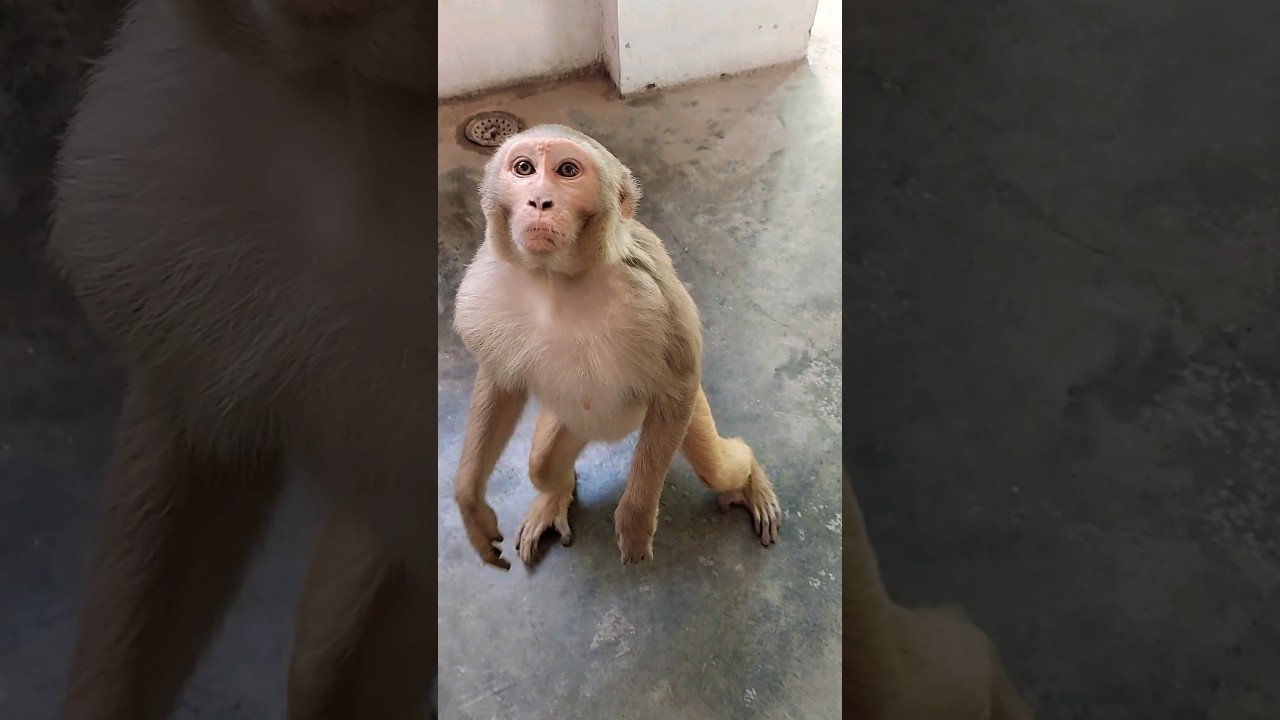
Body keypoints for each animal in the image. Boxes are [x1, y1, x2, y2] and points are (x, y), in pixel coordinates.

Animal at [449, 124, 782, 569]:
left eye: (567, 171)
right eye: (524, 168)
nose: (539, 200)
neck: (556, 280)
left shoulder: (653, 294)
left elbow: (676, 384)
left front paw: (635, 520)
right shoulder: (484, 285)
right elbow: (500, 383)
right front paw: (470, 503)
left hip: (687, 414)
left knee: (716, 465)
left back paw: (750, 481)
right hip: (570, 422)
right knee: (541, 464)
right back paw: (555, 494)